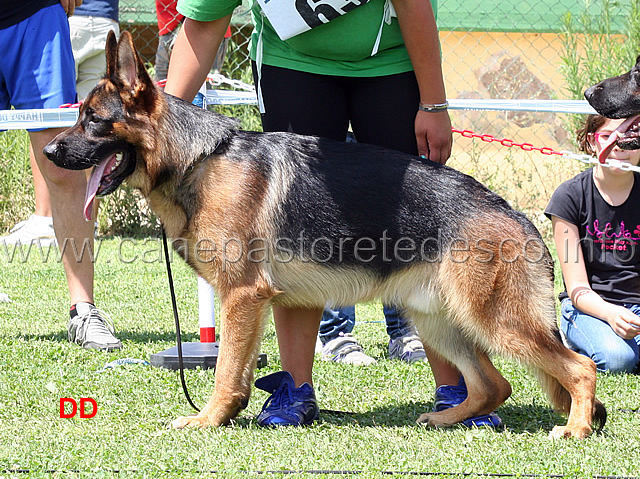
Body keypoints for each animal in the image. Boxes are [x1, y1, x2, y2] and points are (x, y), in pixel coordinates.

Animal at [43, 31, 604, 438]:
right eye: (78, 116)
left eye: (94, 121)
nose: (49, 152)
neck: (198, 158)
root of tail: (518, 216)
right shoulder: (251, 302)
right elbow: (238, 372)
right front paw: (233, 414)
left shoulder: (242, 296)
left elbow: (224, 371)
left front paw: (207, 419)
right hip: (439, 320)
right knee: (493, 384)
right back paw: (447, 418)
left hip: (495, 321)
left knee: (578, 368)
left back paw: (574, 429)